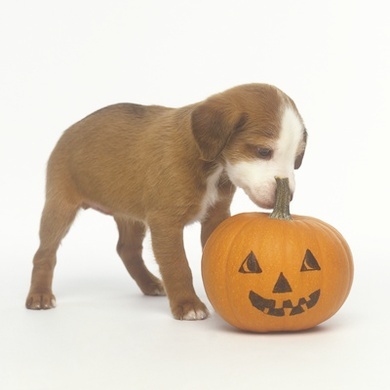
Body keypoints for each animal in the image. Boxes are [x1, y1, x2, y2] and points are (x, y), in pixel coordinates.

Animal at [26, 83, 308, 320]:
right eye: (263, 151)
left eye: (297, 158)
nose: (289, 195)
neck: (212, 166)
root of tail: (70, 129)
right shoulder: (166, 223)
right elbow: (177, 265)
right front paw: (188, 304)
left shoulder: (215, 217)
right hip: (59, 207)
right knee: (45, 253)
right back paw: (39, 295)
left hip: (129, 215)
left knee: (127, 250)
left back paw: (150, 283)